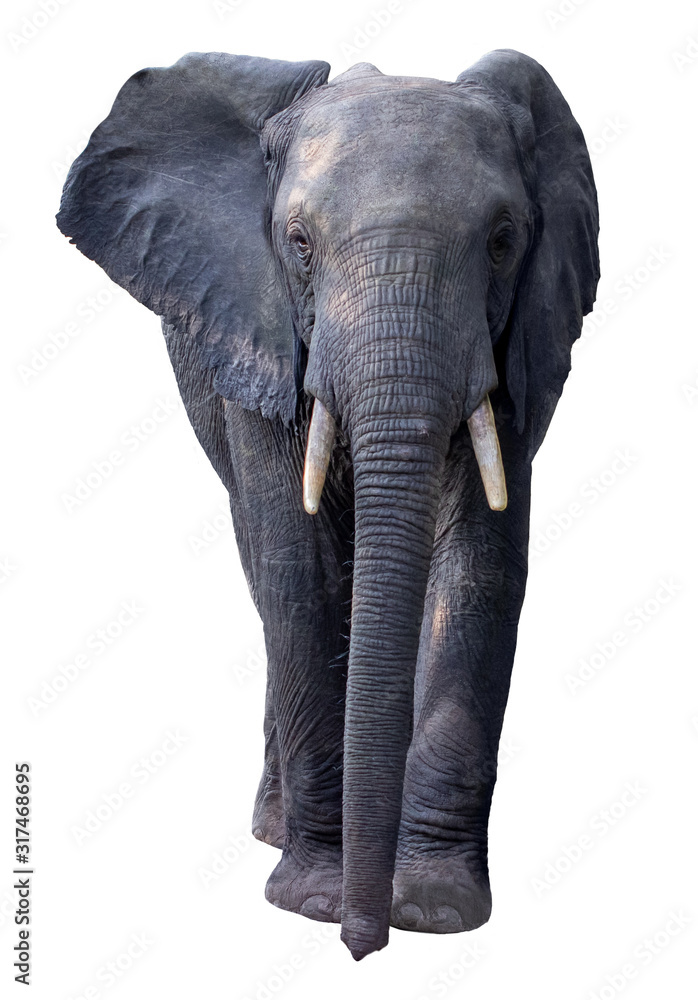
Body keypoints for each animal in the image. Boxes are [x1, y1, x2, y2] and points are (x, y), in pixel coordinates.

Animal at [56, 48, 599, 960]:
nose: (361, 942)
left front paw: (433, 909)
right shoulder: (256, 326)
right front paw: (311, 901)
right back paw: (277, 832)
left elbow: (479, 570)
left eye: (503, 242)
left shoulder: (520, 342)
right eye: (299, 244)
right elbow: (296, 572)